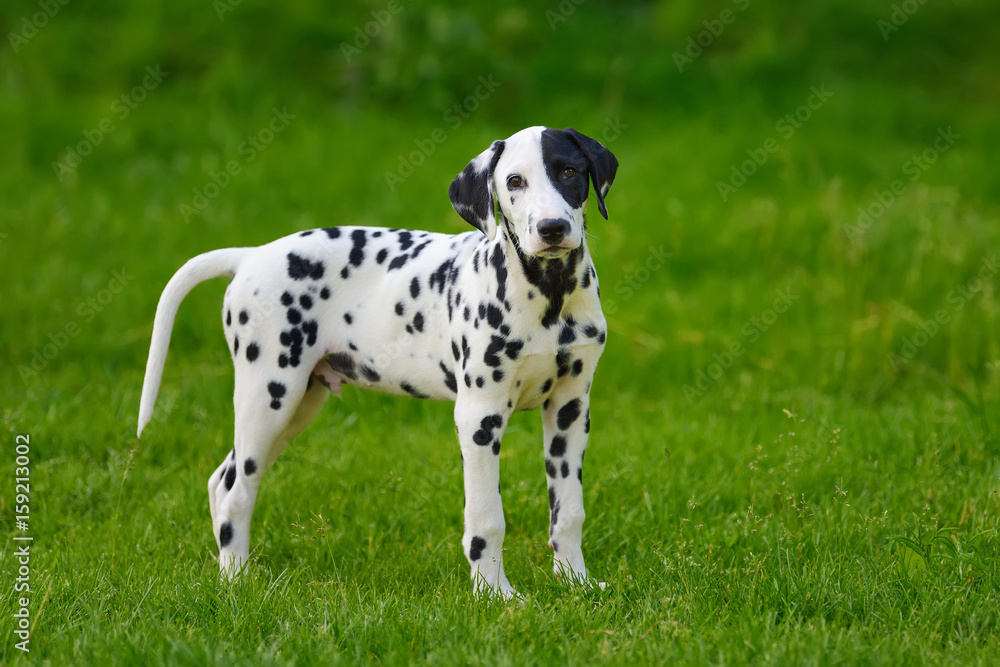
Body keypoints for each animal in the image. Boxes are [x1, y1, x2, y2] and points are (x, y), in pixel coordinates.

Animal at [137, 125, 612, 600]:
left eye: (569, 171)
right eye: (514, 181)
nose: (552, 228)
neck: (550, 295)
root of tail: (250, 256)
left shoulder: (570, 411)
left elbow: (569, 511)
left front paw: (577, 581)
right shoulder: (480, 417)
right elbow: (487, 517)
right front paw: (494, 594)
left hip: (295, 407)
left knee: (224, 479)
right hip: (269, 397)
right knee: (237, 491)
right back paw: (235, 579)